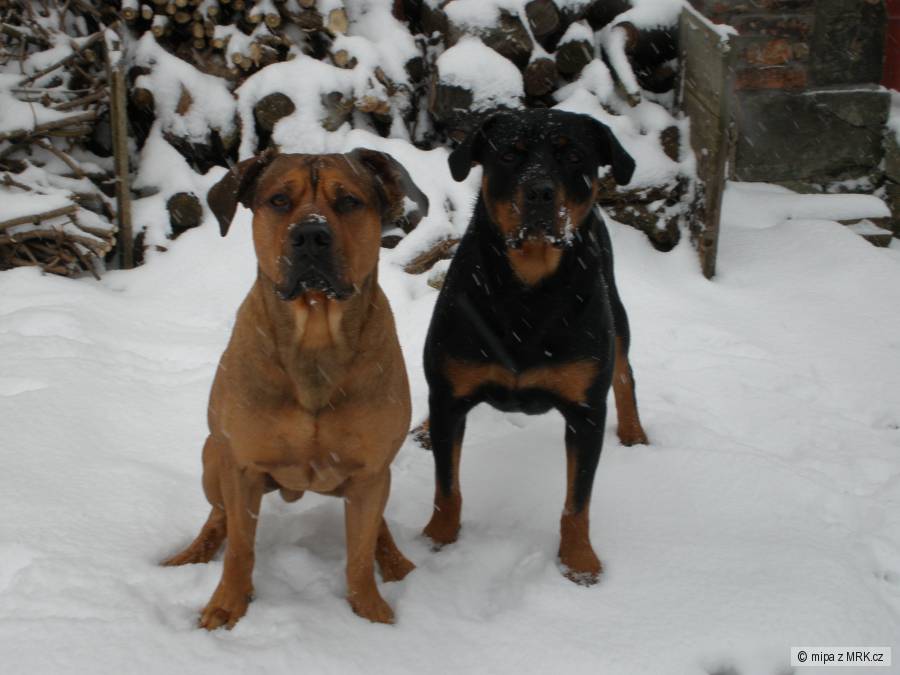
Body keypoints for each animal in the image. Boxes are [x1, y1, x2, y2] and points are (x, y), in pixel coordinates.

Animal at [163, 149, 428, 628]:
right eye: (279, 200)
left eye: (349, 201)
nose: (310, 235)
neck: (315, 336)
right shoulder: (242, 465)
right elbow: (241, 547)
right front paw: (227, 604)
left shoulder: (370, 471)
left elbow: (359, 552)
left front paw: (370, 610)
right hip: (212, 455)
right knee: (218, 515)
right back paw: (192, 553)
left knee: (376, 525)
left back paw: (396, 561)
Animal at [421, 109, 648, 584]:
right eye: (510, 154)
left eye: (573, 155)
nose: (540, 191)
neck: (528, 289)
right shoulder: (450, 392)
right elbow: (446, 486)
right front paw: (437, 538)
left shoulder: (585, 412)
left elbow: (577, 502)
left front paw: (579, 561)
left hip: (615, 309)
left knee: (624, 372)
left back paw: (634, 432)